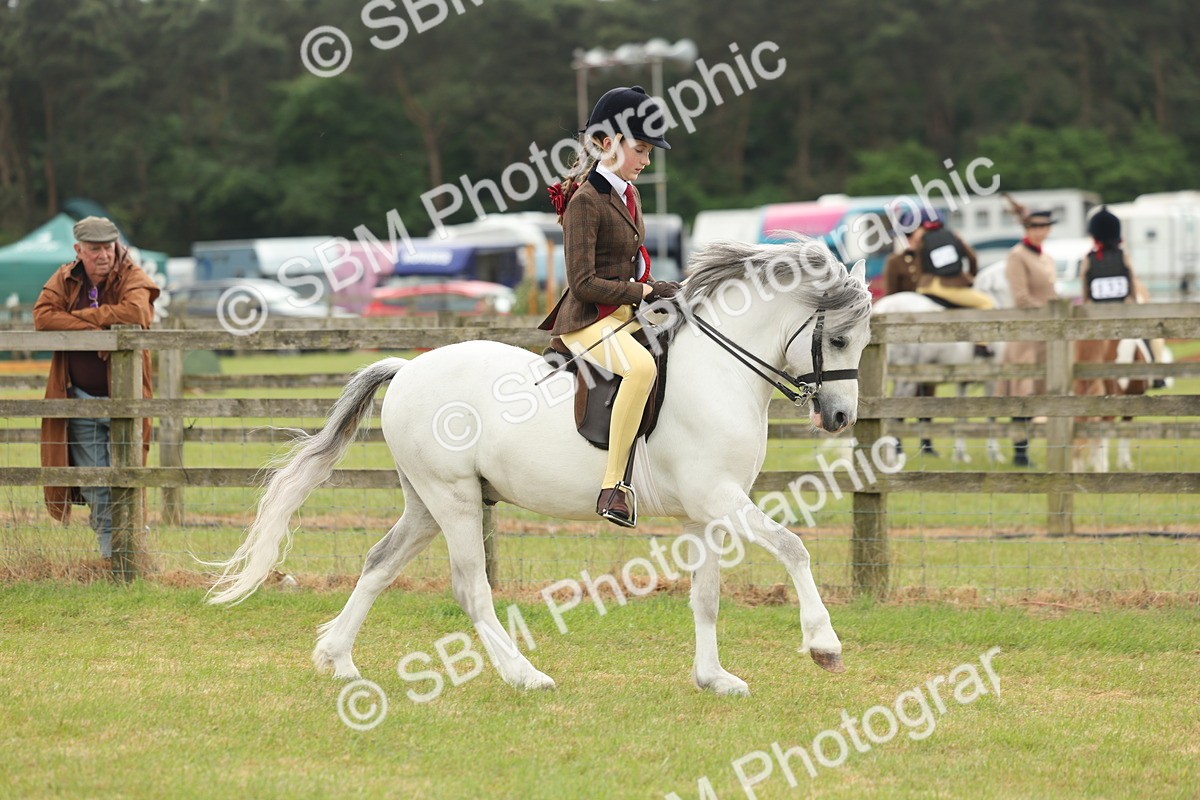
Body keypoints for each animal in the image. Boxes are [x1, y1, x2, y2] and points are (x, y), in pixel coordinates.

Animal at [207, 239, 874, 697]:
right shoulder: (720, 498)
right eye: (840, 340)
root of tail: (408, 367)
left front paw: (714, 679)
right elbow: (793, 549)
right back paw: (524, 674)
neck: (720, 370)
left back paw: (338, 658)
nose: (840, 417)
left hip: (428, 501)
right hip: (454, 500)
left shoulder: (704, 514)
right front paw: (824, 644)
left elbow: (706, 597)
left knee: (378, 564)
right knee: (471, 589)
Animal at [870, 292, 1004, 464]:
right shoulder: (991, 378)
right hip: (906, 380)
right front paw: (994, 454)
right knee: (894, 418)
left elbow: (961, 417)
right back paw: (892, 455)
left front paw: (960, 455)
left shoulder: (962, 382)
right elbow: (991, 416)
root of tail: (884, 307)